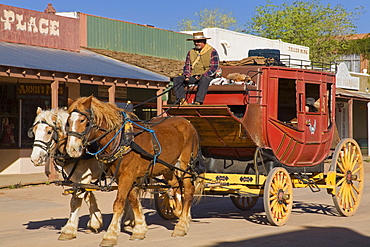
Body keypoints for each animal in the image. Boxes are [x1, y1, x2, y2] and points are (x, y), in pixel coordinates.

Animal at [65, 96, 202, 247]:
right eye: (68, 122)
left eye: (82, 120)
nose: (71, 149)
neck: (121, 138)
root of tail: (188, 123)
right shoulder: (123, 177)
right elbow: (133, 200)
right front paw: (139, 230)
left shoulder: (127, 175)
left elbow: (119, 203)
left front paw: (110, 235)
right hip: (167, 167)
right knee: (176, 186)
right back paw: (180, 213)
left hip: (184, 165)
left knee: (188, 190)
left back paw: (181, 225)